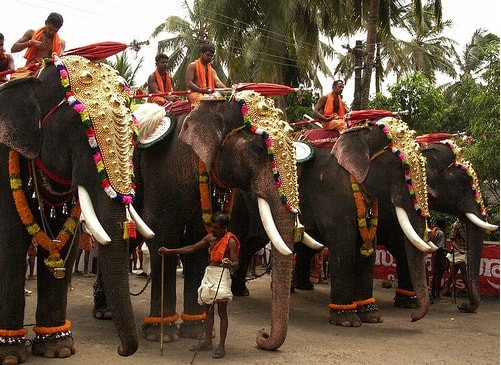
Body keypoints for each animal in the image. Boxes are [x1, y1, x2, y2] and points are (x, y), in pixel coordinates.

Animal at [0, 54, 154, 364]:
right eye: (77, 129)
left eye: (134, 135)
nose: (121, 350)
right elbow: (10, 244)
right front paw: (10, 354)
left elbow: (66, 243)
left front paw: (57, 348)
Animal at [125, 91, 312, 350]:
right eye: (258, 149)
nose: (262, 335)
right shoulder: (164, 170)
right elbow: (162, 233)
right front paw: (162, 336)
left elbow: (198, 239)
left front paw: (196, 331)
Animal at [230, 118, 434, 326]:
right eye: (404, 168)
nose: (413, 318)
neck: (361, 134)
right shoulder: (332, 191)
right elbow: (344, 242)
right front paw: (347, 321)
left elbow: (368, 245)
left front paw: (372, 316)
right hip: (241, 201)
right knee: (244, 238)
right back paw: (237, 292)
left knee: (253, 243)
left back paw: (243, 289)